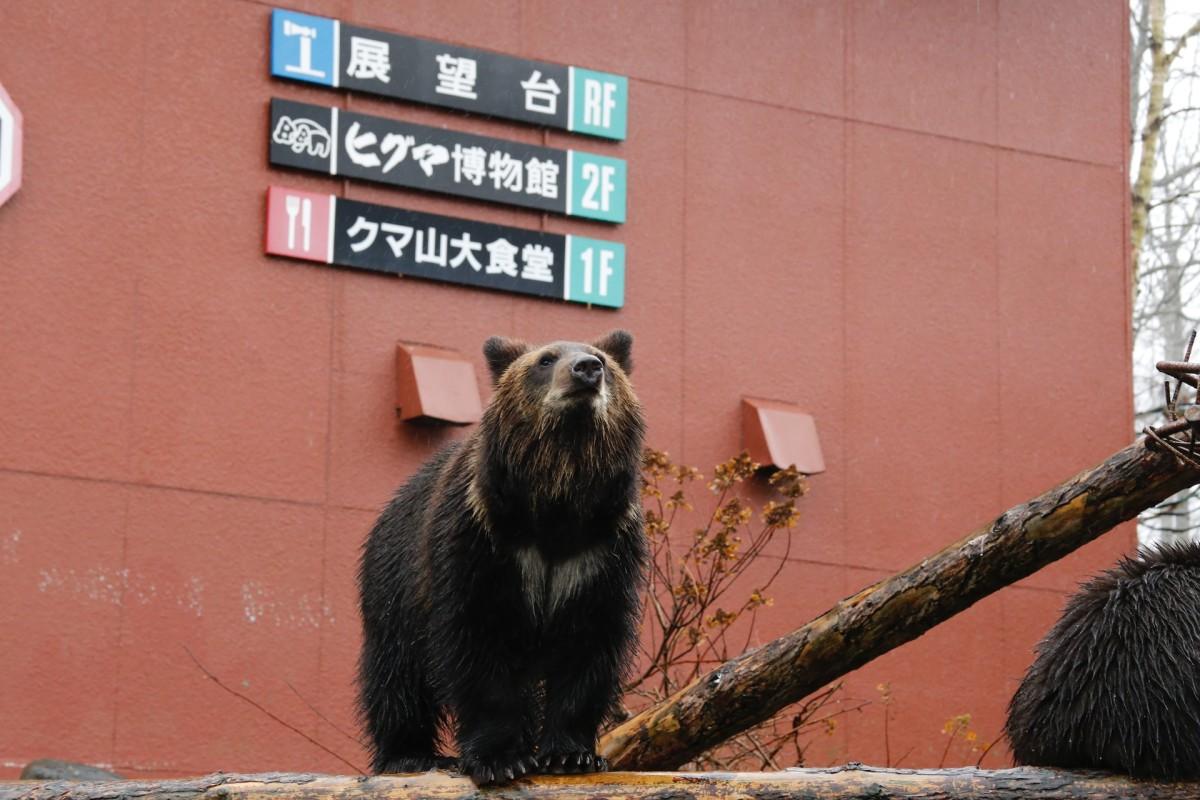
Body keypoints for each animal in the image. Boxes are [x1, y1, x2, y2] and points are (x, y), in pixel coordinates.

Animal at [355, 328, 648, 786]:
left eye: (601, 358)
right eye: (546, 359)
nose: (587, 369)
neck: (556, 503)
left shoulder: (600, 553)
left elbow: (590, 645)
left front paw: (572, 754)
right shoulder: (484, 542)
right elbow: (478, 643)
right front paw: (500, 758)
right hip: (393, 583)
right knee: (395, 673)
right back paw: (408, 754)